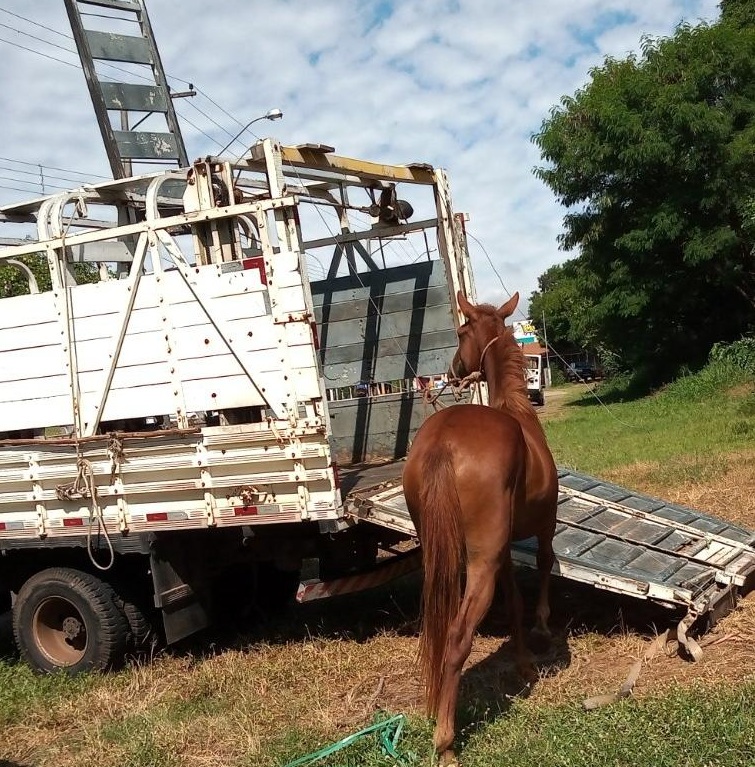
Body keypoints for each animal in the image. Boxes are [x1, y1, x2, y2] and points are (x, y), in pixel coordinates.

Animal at [404, 292, 560, 764]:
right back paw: (446, 741)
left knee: (439, 630)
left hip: (446, 554)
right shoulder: (545, 525)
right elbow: (544, 566)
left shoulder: (503, 550)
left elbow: (513, 602)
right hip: (481, 562)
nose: (455, 368)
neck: (517, 410)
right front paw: (542, 629)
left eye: (460, 331)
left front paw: (524, 663)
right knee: (458, 635)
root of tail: (444, 441)